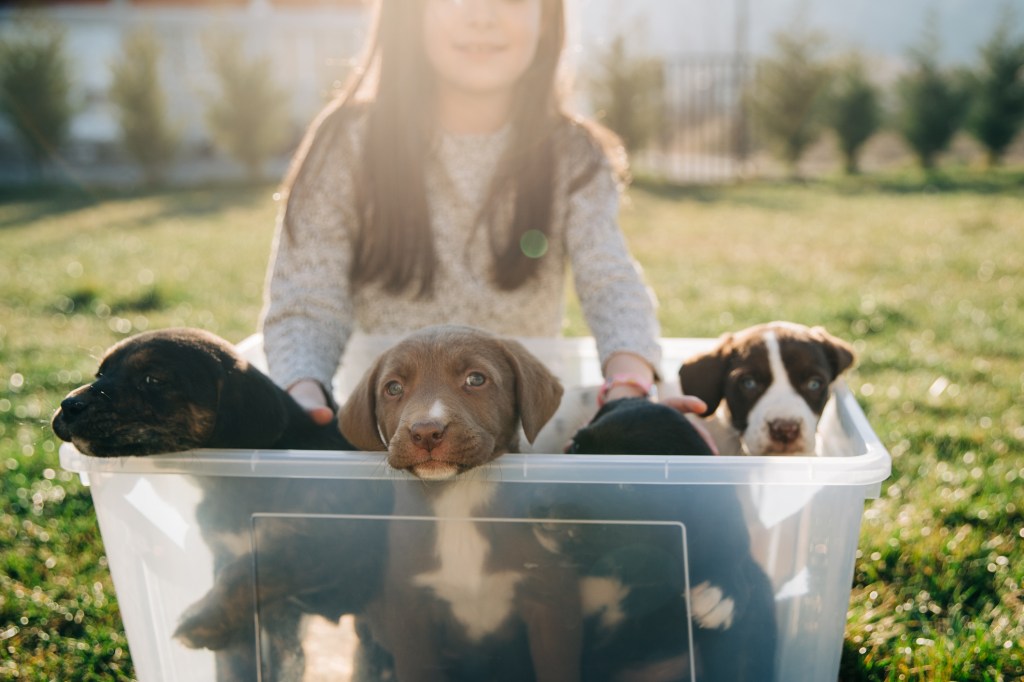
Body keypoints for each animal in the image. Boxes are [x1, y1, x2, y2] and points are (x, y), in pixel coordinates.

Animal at [48, 327, 385, 675]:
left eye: (153, 380)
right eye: (100, 374)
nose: (68, 404)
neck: (226, 486)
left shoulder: (330, 541)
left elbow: (252, 569)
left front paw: (201, 623)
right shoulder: (223, 554)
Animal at [335, 323, 577, 679]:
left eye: (475, 379)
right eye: (393, 388)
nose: (425, 432)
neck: (458, 499)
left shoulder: (552, 605)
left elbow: (557, 669)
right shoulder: (410, 616)